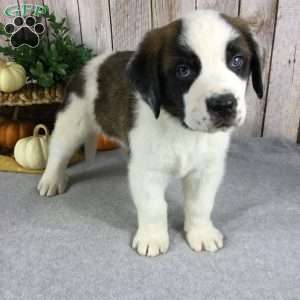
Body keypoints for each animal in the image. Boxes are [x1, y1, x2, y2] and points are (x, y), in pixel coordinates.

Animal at [37, 10, 262, 256]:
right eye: (183, 70)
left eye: (237, 61)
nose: (223, 104)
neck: (182, 128)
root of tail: (88, 65)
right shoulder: (146, 172)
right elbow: (154, 207)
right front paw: (152, 238)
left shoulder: (206, 171)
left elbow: (200, 204)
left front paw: (201, 232)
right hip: (71, 123)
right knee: (58, 153)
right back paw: (51, 180)